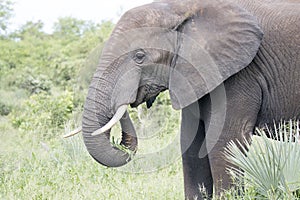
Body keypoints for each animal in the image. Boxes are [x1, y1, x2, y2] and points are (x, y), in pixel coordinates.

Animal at [79, 0, 300, 198]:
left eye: (139, 56)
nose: (119, 142)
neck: (182, 7)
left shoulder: (241, 74)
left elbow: (224, 139)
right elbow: (191, 141)